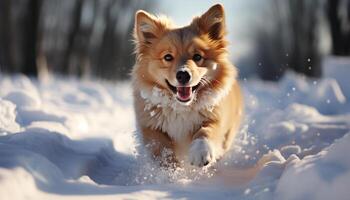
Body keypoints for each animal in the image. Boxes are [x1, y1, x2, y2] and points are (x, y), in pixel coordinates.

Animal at [132, 3, 243, 168]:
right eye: (168, 57)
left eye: (197, 57)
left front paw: (201, 153)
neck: (181, 108)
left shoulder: (215, 118)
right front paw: (170, 169)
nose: (183, 75)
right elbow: (161, 148)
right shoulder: (151, 127)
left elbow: (205, 132)